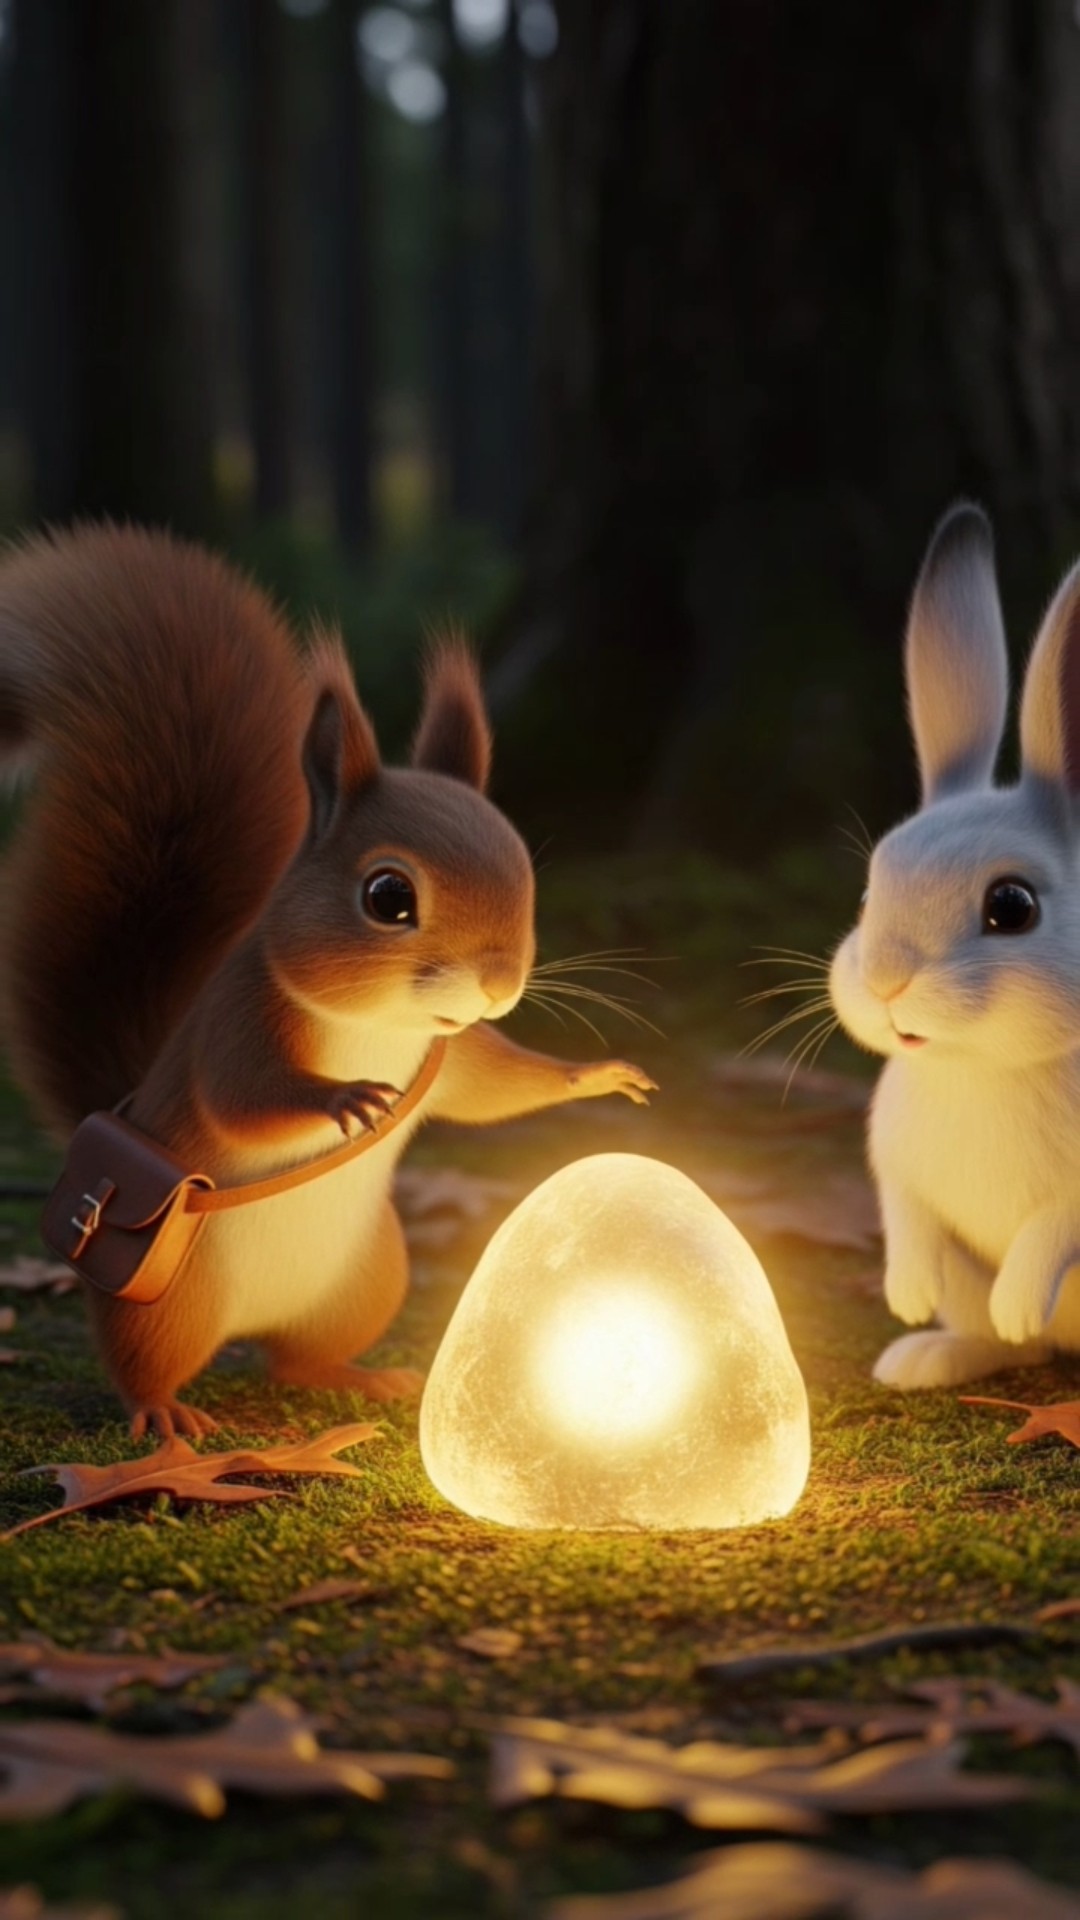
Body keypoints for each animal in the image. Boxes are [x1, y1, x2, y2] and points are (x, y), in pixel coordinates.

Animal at [0, 522, 657, 1440]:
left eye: (524, 868)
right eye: (388, 897)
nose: (497, 986)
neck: (380, 1026)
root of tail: (247, 1325)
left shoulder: (445, 1061)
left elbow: (497, 1090)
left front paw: (595, 1075)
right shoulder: (239, 1021)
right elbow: (241, 1097)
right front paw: (343, 1099)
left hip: (368, 1280)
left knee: (296, 1360)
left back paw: (363, 1379)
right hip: (166, 1296)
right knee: (148, 1364)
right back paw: (165, 1416)